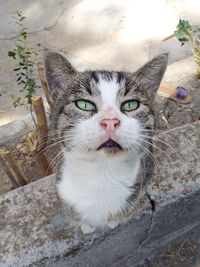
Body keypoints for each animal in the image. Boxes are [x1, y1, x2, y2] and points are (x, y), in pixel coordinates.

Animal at [44, 52, 168, 234]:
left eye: (131, 105)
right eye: (83, 104)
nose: (110, 121)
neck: (101, 174)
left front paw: (113, 222)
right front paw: (85, 225)